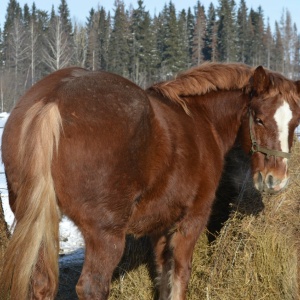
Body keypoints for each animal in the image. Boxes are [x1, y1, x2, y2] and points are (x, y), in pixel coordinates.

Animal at [0, 62, 300, 298]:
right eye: (258, 119)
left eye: (295, 123)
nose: (275, 180)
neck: (202, 120)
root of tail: (54, 99)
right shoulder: (191, 221)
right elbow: (179, 277)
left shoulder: (160, 226)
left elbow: (162, 277)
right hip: (106, 235)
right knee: (92, 287)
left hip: (39, 220)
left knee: (40, 284)